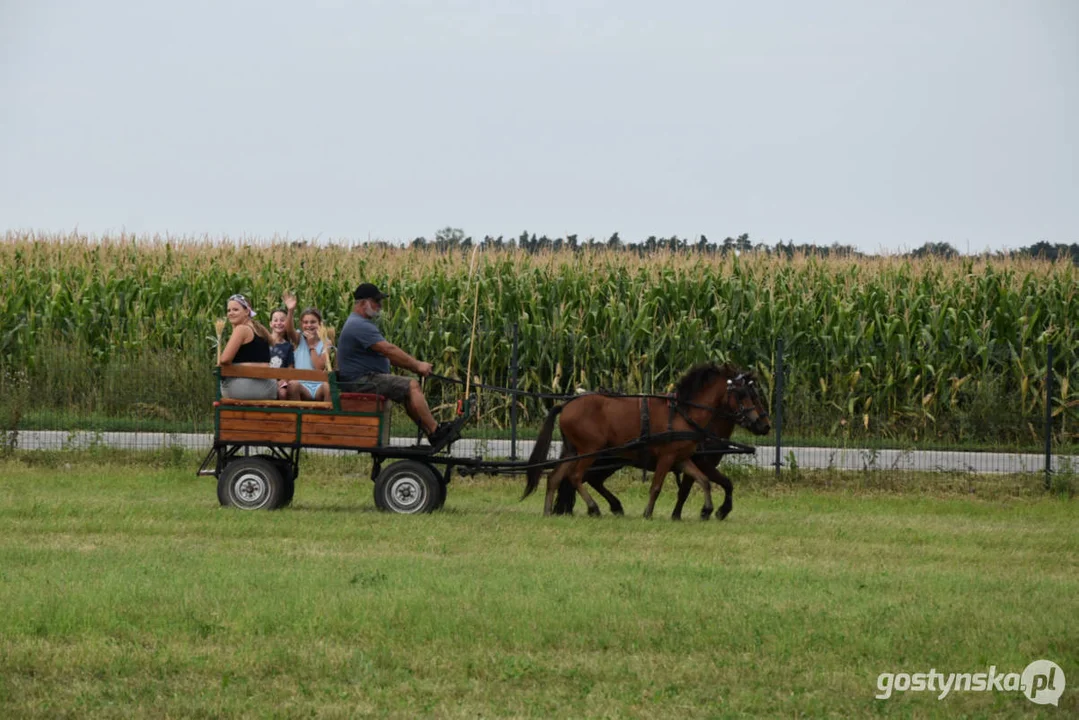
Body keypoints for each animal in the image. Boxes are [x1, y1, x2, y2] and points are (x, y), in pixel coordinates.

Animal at [522, 367, 768, 518]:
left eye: (753, 394)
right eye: (744, 394)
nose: (763, 424)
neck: (684, 413)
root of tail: (567, 404)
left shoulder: (682, 459)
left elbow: (704, 482)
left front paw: (706, 510)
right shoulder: (668, 458)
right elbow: (657, 486)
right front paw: (649, 513)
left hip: (574, 451)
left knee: (556, 478)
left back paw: (549, 510)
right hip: (592, 452)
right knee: (576, 477)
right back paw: (594, 508)